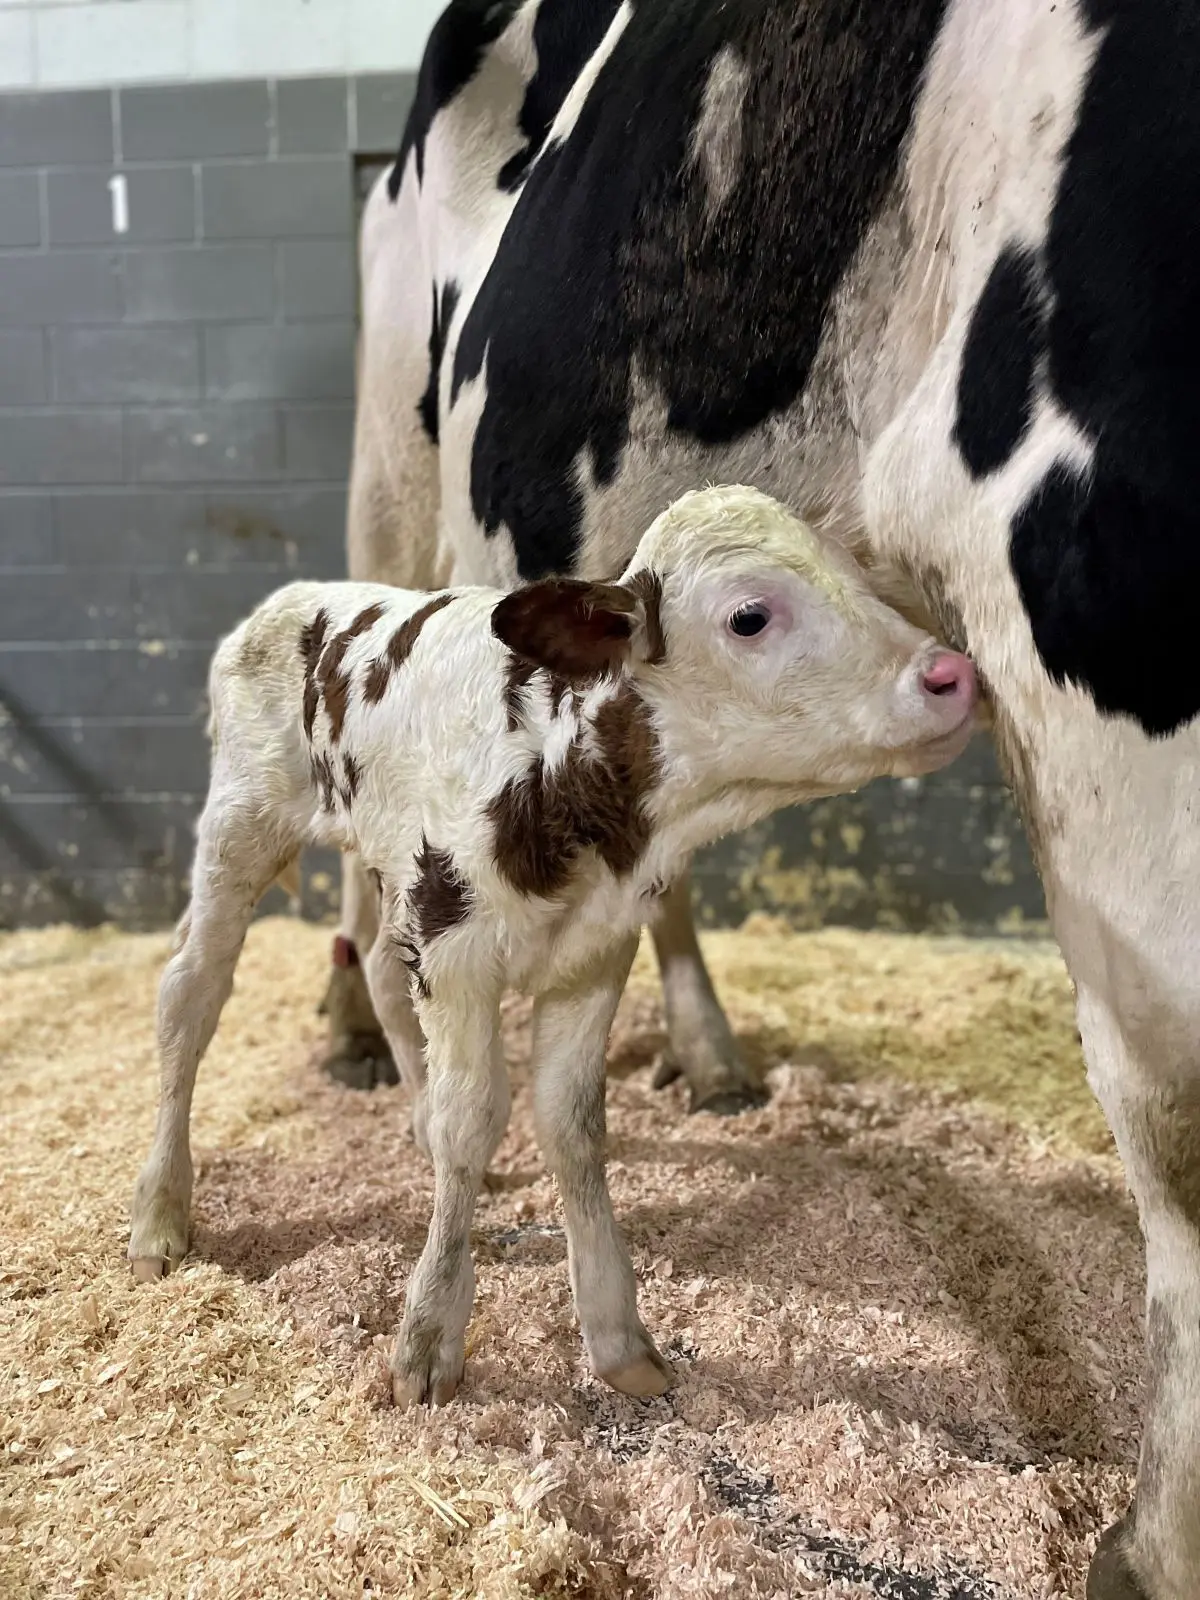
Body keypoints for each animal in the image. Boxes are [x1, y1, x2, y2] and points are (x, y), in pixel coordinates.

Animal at [317, 2, 1200, 1593]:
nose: (942, 683)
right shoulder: (1097, 593)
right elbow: (1181, 1119)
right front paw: (1159, 1541)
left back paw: (707, 1045)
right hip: (393, 463)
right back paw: (362, 1022)